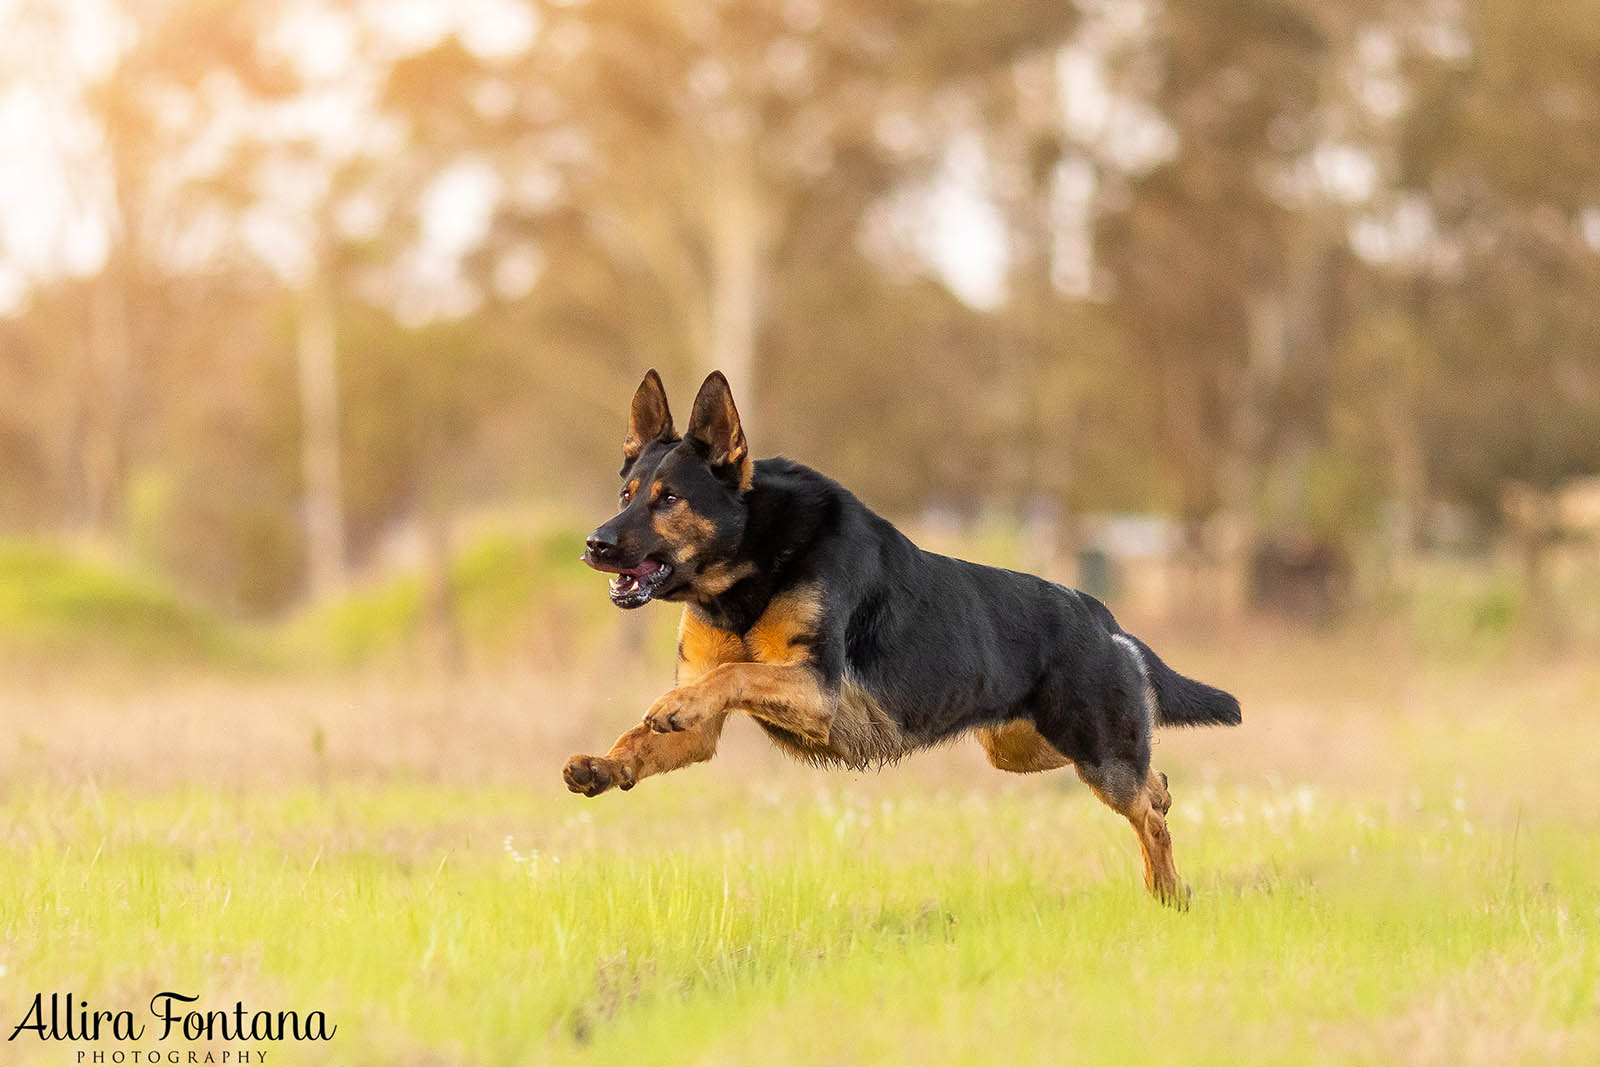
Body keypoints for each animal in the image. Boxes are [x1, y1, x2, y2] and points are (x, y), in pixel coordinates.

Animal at [569, 371, 1241, 908]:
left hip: (1094, 753)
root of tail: (1104, 617)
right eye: (626, 495)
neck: (747, 564)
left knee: (1149, 818)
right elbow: (646, 733)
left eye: (669, 499)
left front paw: (674, 703)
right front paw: (606, 764)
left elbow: (729, 676)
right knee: (1154, 789)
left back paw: (1170, 893)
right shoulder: (706, 734)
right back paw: (1165, 824)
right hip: (1027, 748)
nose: (594, 544)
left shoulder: (816, 690)